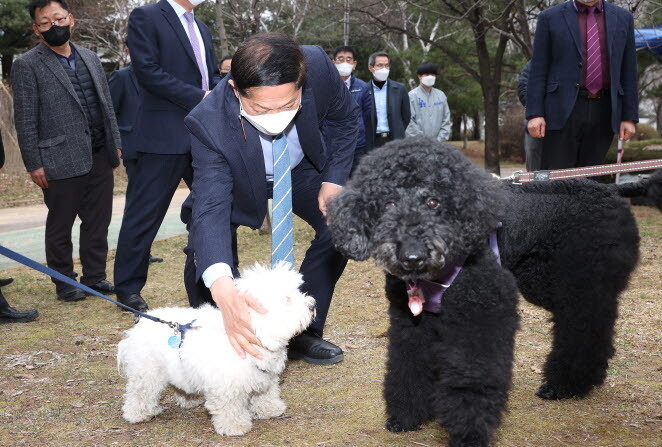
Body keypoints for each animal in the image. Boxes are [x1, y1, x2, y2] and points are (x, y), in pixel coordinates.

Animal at [116, 264, 316, 436]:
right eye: (286, 299)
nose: (312, 305)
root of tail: (139, 326)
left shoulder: (266, 377)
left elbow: (266, 394)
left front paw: (270, 409)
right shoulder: (226, 387)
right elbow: (230, 408)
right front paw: (234, 426)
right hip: (147, 372)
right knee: (139, 393)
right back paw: (137, 414)